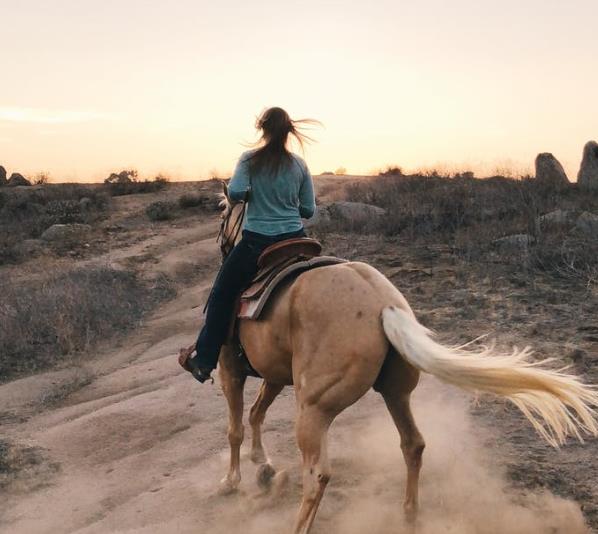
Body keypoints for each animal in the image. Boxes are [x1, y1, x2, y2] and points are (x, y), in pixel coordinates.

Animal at [182, 188, 598, 534]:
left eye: (223, 212)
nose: (222, 243)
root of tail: (383, 303)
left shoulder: (230, 369)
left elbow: (236, 426)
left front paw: (232, 480)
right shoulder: (274, 374)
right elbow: (256, 413)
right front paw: (263, 466)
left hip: (314, 407)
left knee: (317, 474)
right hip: (396, 393)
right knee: (413, 445)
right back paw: (409, 516)